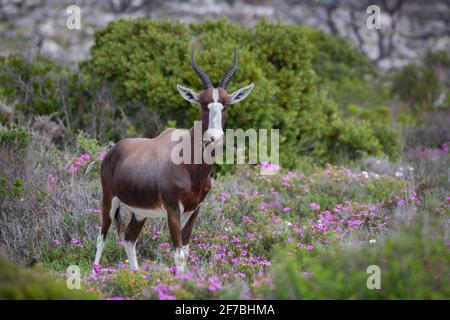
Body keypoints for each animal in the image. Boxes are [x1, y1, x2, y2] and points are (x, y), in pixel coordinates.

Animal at [92, 48, 253, 272]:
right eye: (203, 104)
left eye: (226, 105)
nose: (214, 137)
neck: (190, 166)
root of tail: (112, 151)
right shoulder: (172, 209)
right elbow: (179, 255)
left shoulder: (194, 210)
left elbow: (185, 250)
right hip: (110, 199)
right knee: (102, 236)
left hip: (140, 212)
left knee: (129, 239)